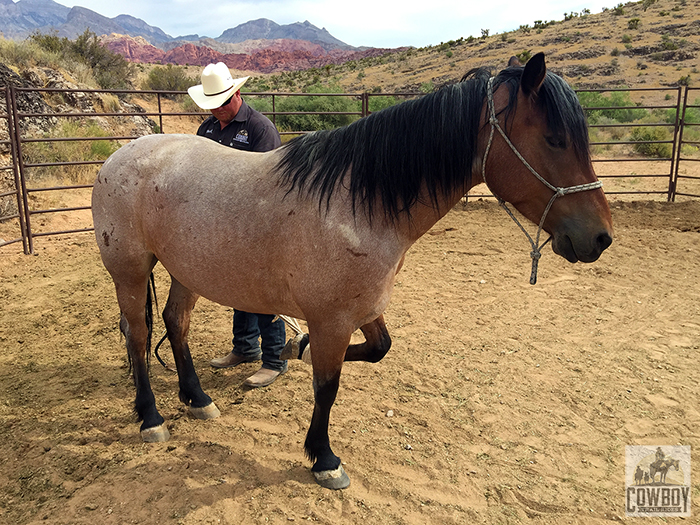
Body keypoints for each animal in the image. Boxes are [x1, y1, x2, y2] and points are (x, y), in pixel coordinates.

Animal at [91, 53, 612, 488]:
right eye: (554, 139)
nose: (600, 237)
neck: (358, 204)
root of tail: (119, 156)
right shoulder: (334, 320)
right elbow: (328, 387)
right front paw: (324, 459)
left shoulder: (364, 308)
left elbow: (379, 349)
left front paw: (296, 347)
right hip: (129, 273)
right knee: (138, 335)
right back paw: (151, 418)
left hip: (187, 271)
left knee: (175, 324)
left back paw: (198, 399)